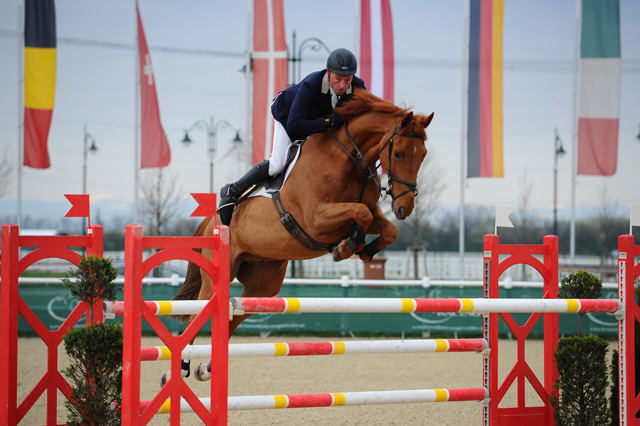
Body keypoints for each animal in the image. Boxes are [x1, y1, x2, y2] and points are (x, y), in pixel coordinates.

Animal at [168, 88, 432, 382]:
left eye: (422, 155)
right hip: (217, 275)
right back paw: (179, 369)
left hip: (263, 284)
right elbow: (360, 213)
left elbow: (386, 227)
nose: (404, 208)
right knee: (197, 315)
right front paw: (346, 247)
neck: (348, 159)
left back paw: (206, 368)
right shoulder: (316, 219)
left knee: (234, 316)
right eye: (397, 154)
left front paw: (363, 249)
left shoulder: (371, 212)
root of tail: (209, 222)